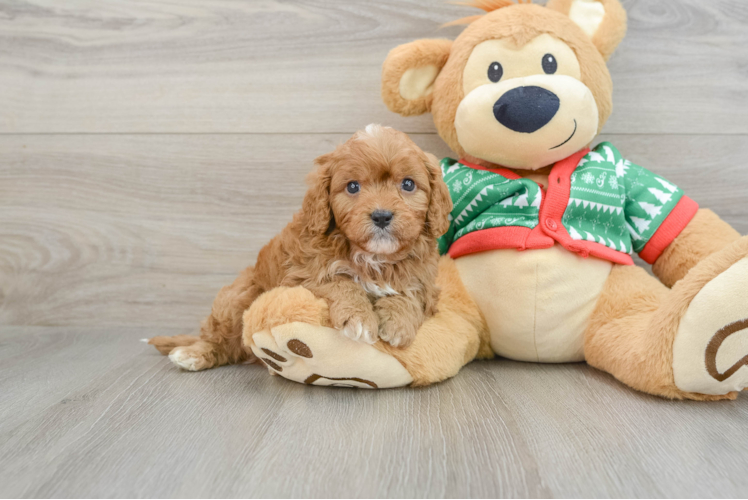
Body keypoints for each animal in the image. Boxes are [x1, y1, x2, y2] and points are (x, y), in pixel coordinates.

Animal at [145, 125, 450, 372]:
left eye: (408, 184)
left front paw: (399, 322)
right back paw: (193, 355)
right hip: (237, 297)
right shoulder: (301, 274)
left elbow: (410, 293)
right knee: (223, 341)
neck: (373, 256)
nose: (382, 216)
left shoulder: (425, 281)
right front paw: (359, 318)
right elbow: (339, 281)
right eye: (352, 187)